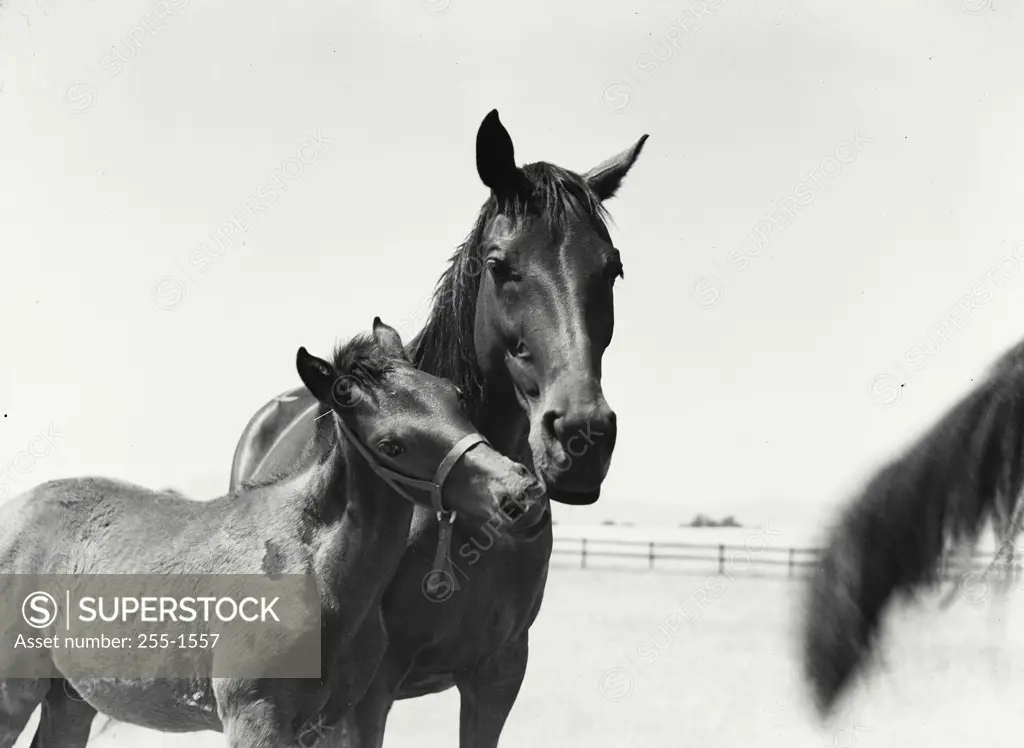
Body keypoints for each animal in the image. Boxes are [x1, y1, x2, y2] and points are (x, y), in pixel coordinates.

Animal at [0, 319, 544, 745]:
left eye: (456, 397)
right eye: (392, 445)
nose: (522, 495)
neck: (312, 571)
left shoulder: (330, 722)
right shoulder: (255, 719)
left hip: (70, 697)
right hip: (14, 693)